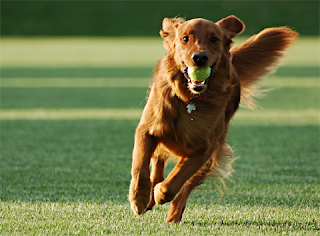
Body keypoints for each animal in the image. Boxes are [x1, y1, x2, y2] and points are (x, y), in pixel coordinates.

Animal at [128, 15, 298, 223]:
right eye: (185, 39)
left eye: (214, 39)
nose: (200, 57)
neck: (189, 99)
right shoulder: (147, 130)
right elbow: (140, 168)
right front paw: (139, 199)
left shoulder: (204, 148)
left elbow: (176, 180)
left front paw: (160, 193)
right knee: (158, 163)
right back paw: (150, 198)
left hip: (212, 154)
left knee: (184, 188)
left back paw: (172, 216)